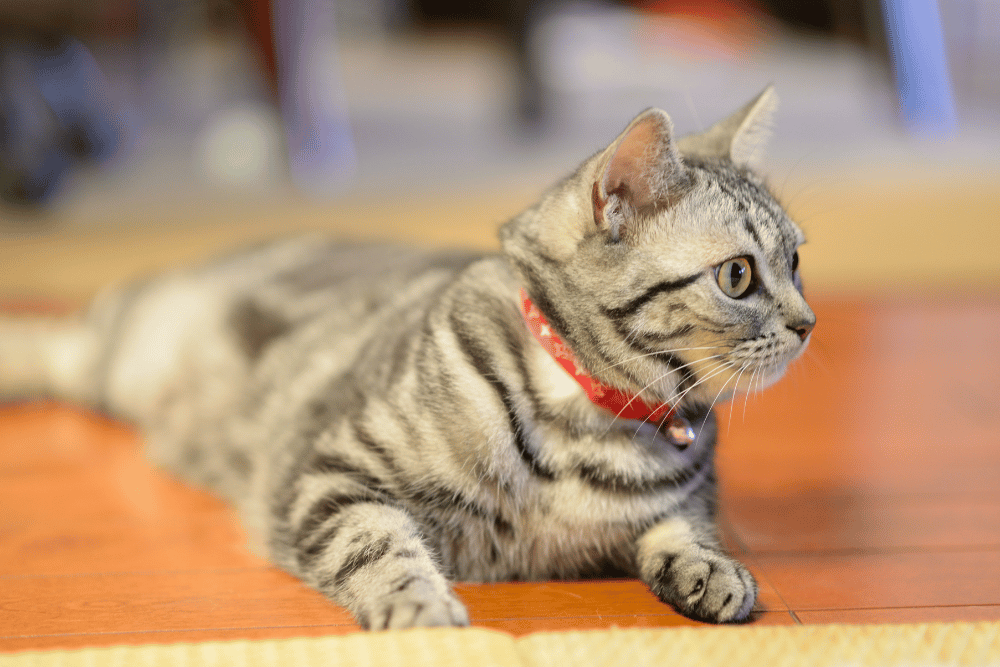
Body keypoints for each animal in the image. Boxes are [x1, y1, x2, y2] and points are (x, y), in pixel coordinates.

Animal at [0, 87, 812, 632]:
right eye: (739, 275)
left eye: (797, 261)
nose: (808, 323)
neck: (595, 420)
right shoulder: (333, 474)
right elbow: (379, 548)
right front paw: (422, 607)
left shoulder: (682, 501)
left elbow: (685, 524)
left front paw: (714, 570)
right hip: (114, 355)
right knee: (54, 342)